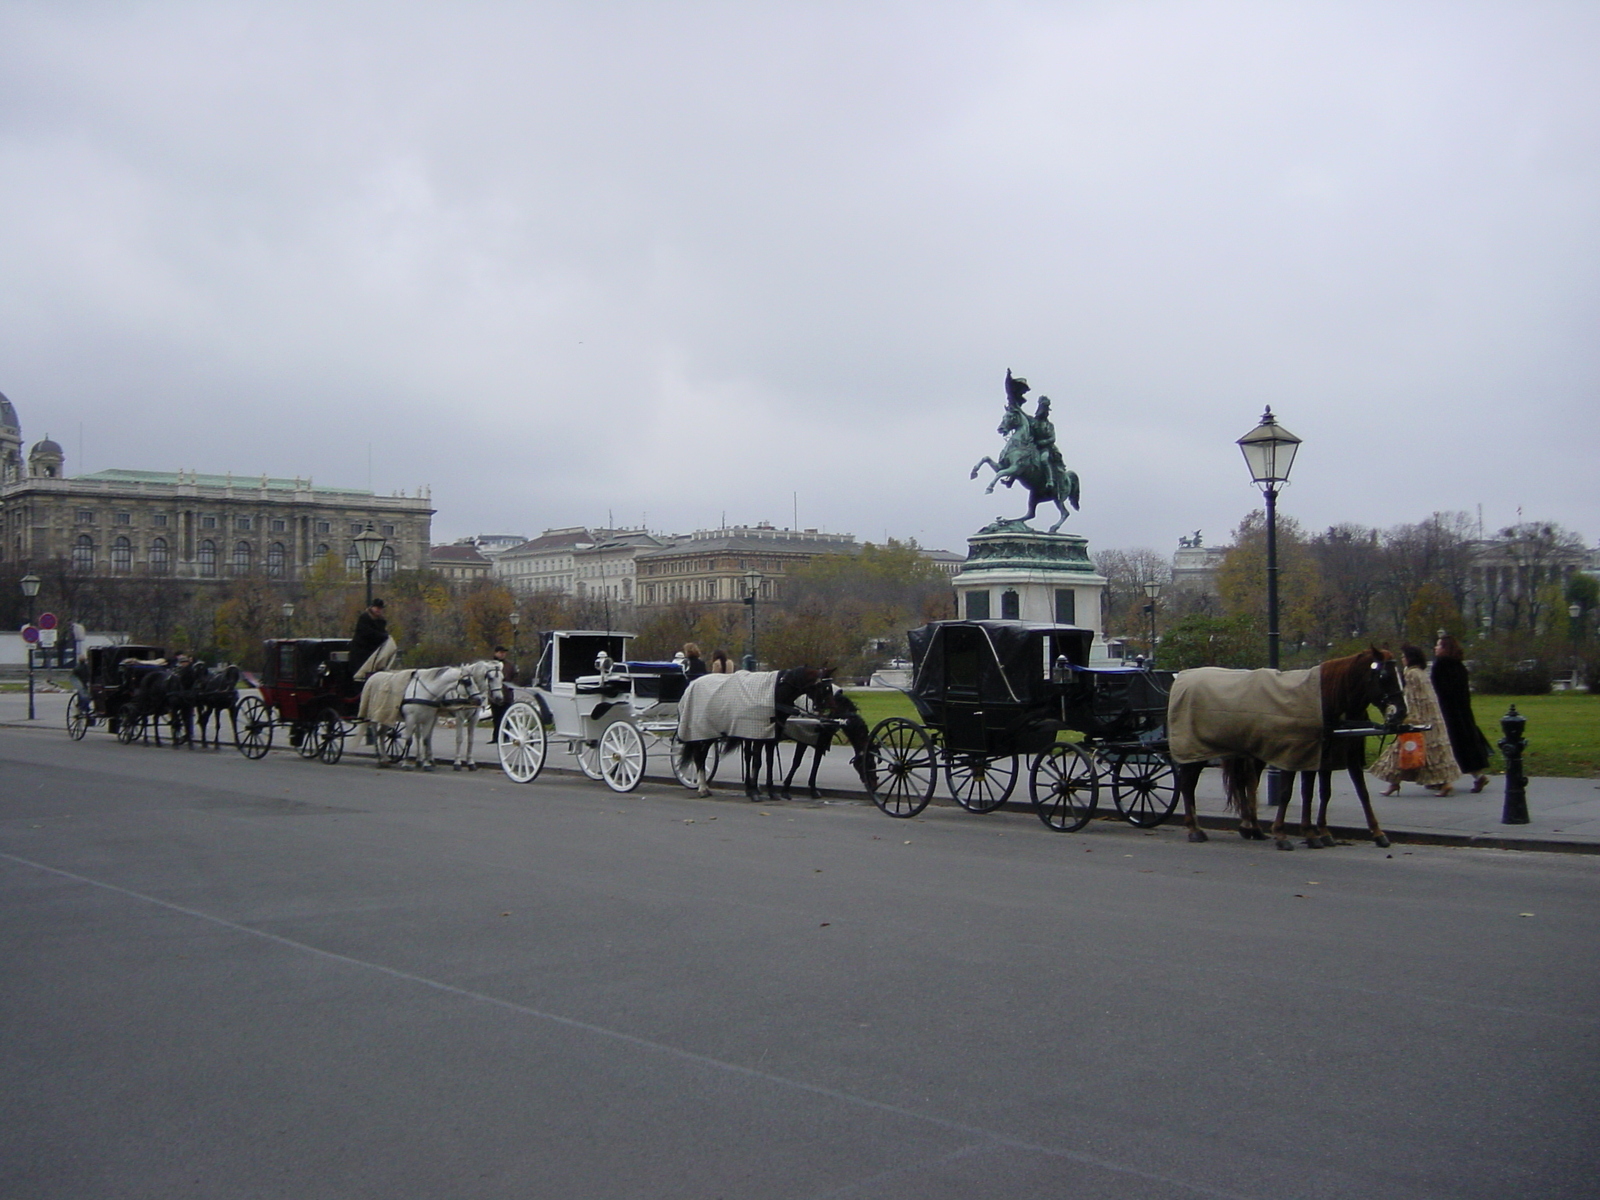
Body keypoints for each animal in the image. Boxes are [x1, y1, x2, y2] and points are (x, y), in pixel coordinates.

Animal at [1177, 652, 1401, 851]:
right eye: (1385, 676)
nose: (1401, 712)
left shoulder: (1327, 758)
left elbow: (1337, 793)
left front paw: (1320, 833)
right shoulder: (1294, 755)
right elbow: (1289, 793)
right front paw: (1287, 834)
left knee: (1246, 783)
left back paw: (1252, 828)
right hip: (1195, 750)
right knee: (1188, 784)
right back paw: (1194, 829)